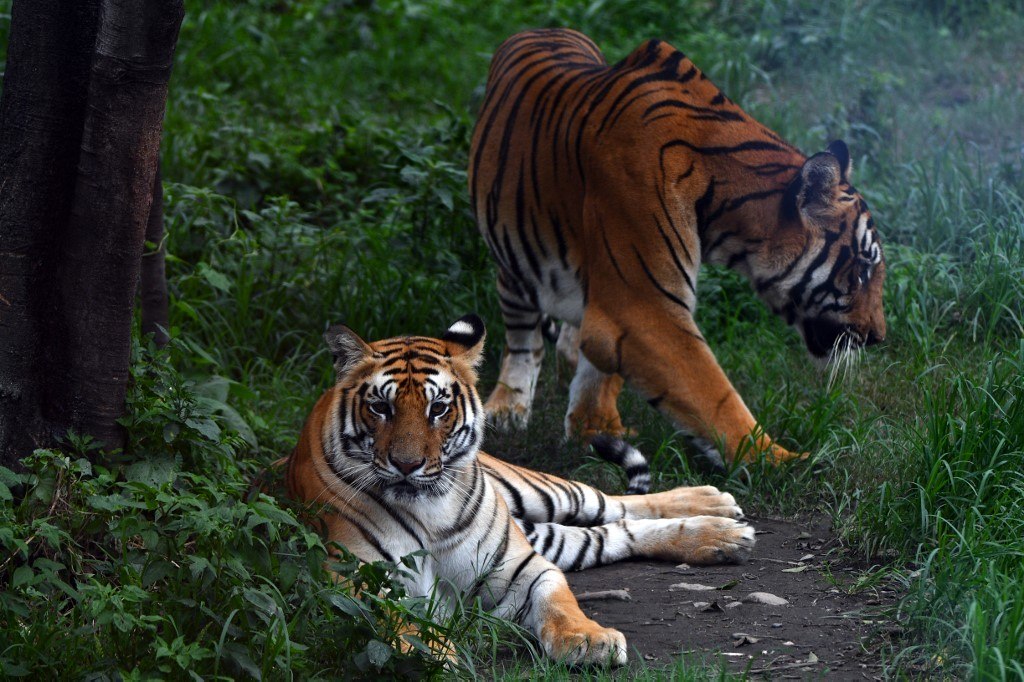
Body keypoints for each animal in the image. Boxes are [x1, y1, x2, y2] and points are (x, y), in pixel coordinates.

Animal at [286, 315, 753, 663]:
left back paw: (715, 510)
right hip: (544, 532)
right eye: (380, 407)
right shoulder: (352, 579)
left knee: (610, 503)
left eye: (438, 408)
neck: (430, 512)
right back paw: (721, 536)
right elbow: (397, 622)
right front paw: (431, 653)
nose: (407, 465)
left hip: (541, 492)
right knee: (610, 534)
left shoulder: (522, 566)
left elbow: (560, 602)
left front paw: (589, 640)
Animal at [468, 27, 884, 462]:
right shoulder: (643, 308)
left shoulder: (615, 300)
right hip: (513, 264)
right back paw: (509, 406)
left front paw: (596, 429)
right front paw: (788, 461)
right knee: (522, 341)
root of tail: (544, 28)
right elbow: (713, 394)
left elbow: (600, 370)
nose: (878, 337)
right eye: (862, 269)